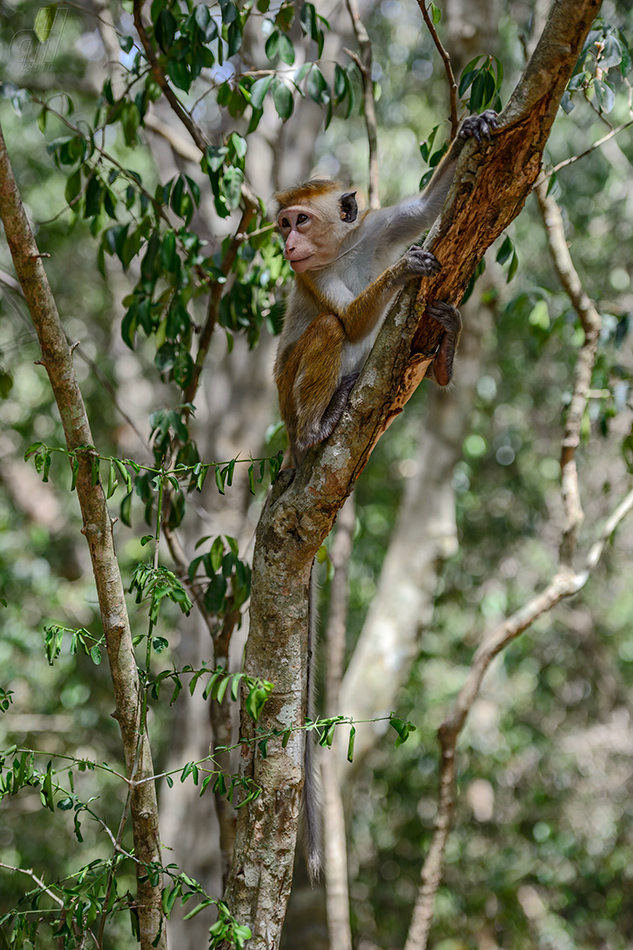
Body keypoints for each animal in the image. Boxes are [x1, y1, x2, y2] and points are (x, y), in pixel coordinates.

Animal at [276, 110, 498, 468]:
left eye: (301, 221)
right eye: (285, 224)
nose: (288, 246)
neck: (342, 250)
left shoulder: (374, 229)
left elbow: (424, 209)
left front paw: (468, 130)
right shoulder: (311, 274)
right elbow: (351, 322)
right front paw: (404, 268)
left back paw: (444, 353)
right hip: (286, 400)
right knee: (329, 326)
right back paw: (313, 431)